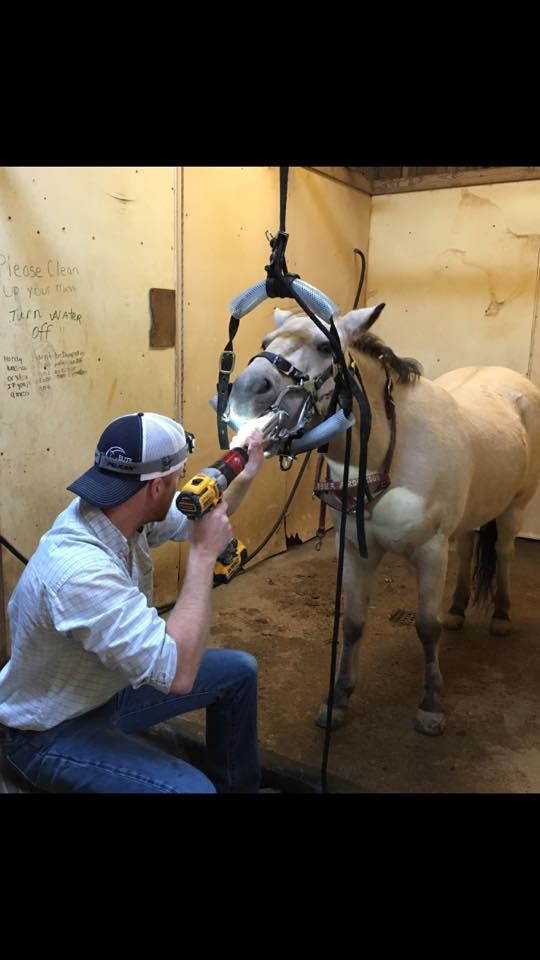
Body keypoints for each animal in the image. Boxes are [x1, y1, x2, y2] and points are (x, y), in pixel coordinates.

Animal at [227, 303, 540, 735]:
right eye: (265, 342)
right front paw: (338, 700)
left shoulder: (430, 552)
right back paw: (459, 610)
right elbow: (354, 623)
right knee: (467, 549)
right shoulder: (356, 549)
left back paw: (501, 617)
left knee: (506, 554)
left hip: (514, 509)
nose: (245, 390)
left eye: (325, 346)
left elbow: (427, 626)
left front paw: (430, 705)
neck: (390, 450)